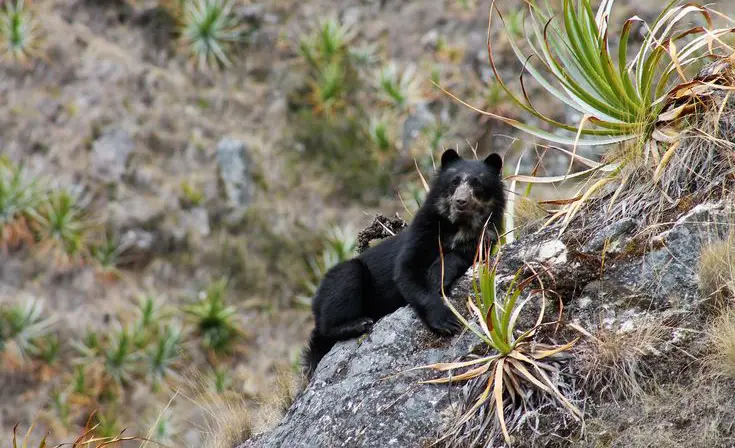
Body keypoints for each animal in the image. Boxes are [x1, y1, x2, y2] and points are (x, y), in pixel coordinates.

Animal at [303, 149, 505, 377]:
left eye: (477, 183)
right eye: (454, 181)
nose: (461, 201)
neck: (458, 226)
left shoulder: (485, 237)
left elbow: (461, 257)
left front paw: (437, 277)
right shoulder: (422, 231)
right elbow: (407, 271)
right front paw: (446, 321)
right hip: (338, 282)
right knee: (338, 299)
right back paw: (358, 323)